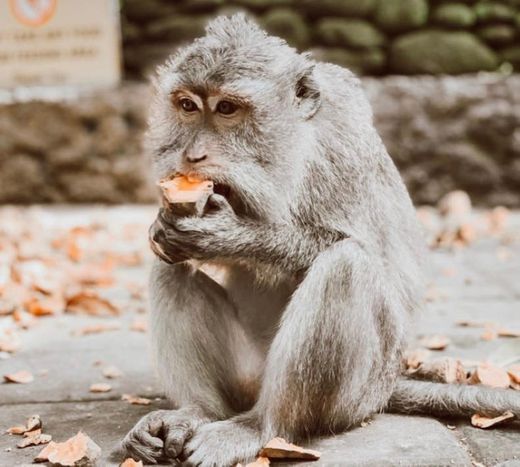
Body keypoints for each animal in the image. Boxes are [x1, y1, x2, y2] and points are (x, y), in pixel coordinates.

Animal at [122, 14, 520, 467]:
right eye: (188, 106)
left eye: (226, 109)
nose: (193, 155)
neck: (294, 150)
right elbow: (170, 249)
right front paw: (163, 227)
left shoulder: (345, 151)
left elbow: (375, 260)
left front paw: (229, 235)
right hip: (247, 376)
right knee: (170, 269)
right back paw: (198, 412)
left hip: (357, 395)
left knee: (344, 266)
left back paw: (260, 428)